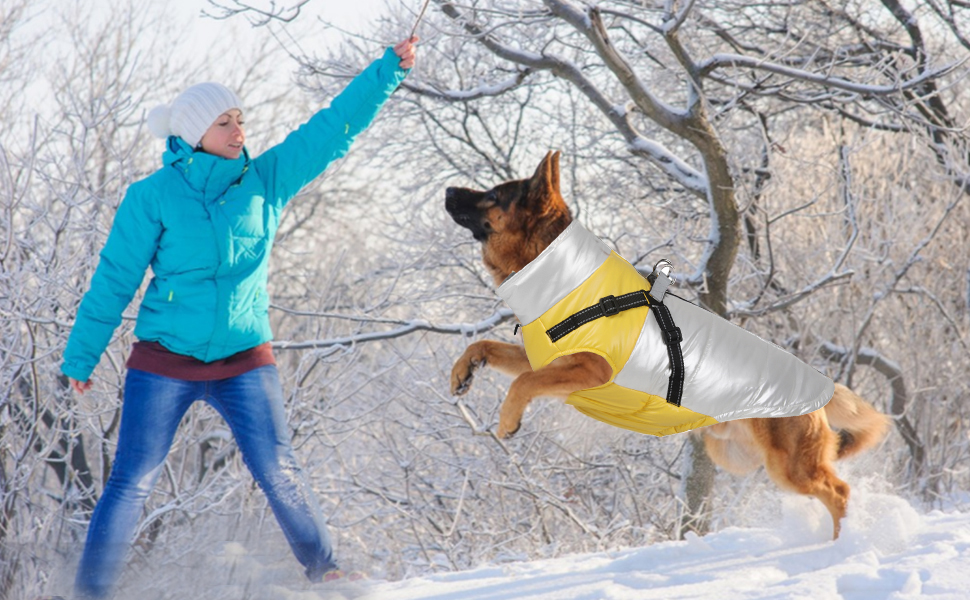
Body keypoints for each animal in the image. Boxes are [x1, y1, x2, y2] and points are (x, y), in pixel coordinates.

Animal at [442, 151, 888, 540]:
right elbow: (484, 345)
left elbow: (521, 385)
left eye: (492, 195)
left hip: (789, 466)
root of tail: (822, 386)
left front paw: (507, 420)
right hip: (736, 456)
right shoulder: (545, 361)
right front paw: (463, 372)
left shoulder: (589, 369)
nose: (447, 190)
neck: (561, 276)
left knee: (840, 493)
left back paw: (843, 544)